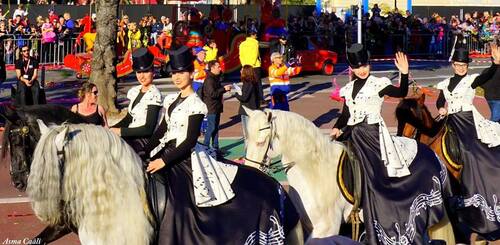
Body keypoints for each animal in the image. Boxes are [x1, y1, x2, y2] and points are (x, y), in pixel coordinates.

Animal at [243, 108, 458, 244]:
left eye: (261, 142)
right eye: (247, 140)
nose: (251, 168)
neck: (316, 169)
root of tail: (433, 155)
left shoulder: (326, 228)